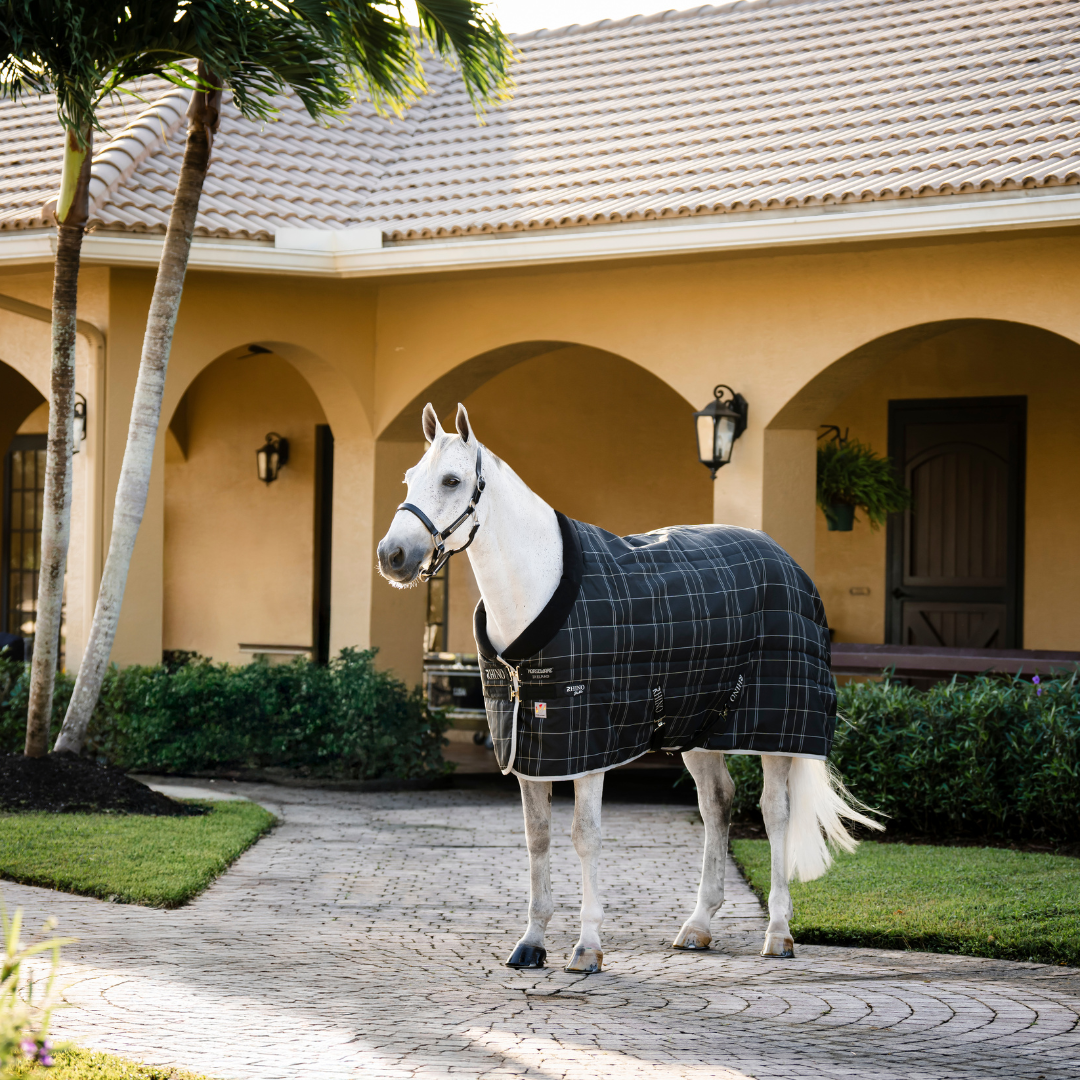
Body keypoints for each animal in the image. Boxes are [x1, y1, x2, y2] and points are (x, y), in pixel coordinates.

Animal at [377, 402, 881, 973]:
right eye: (409, 477)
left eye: (452, 480)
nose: (392, 555)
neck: (539, 588)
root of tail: (787, 560)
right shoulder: (529, 746)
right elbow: (538, 838)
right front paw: (531, 942)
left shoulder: (588, 746)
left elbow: (585, 836)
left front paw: (587, 947)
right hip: (699, 728)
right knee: (718, 803)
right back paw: (698, 926)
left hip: (776, 732)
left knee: (774, 813)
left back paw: (777, 933)